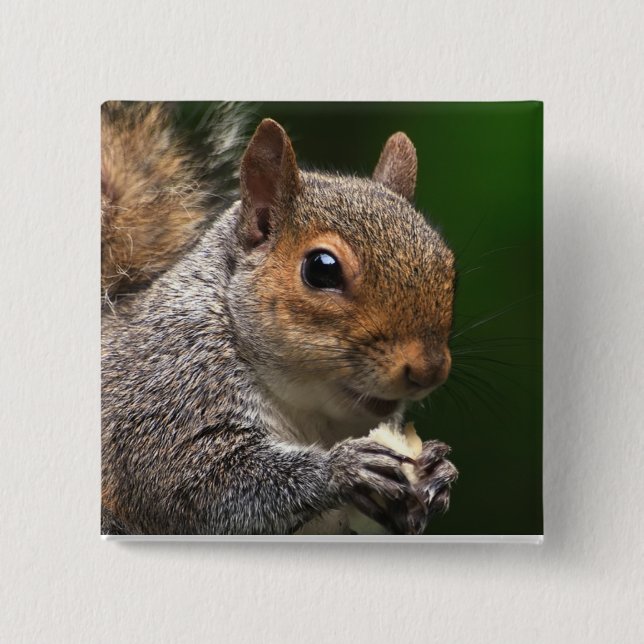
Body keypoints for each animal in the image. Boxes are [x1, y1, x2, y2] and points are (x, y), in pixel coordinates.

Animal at [101, 101, 458, 535]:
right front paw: (341, 469)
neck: (308, 410)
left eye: (449, 265)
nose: (430, 371)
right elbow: (195, 484)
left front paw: (438, 475)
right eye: (321, 269)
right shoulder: (164, 395)